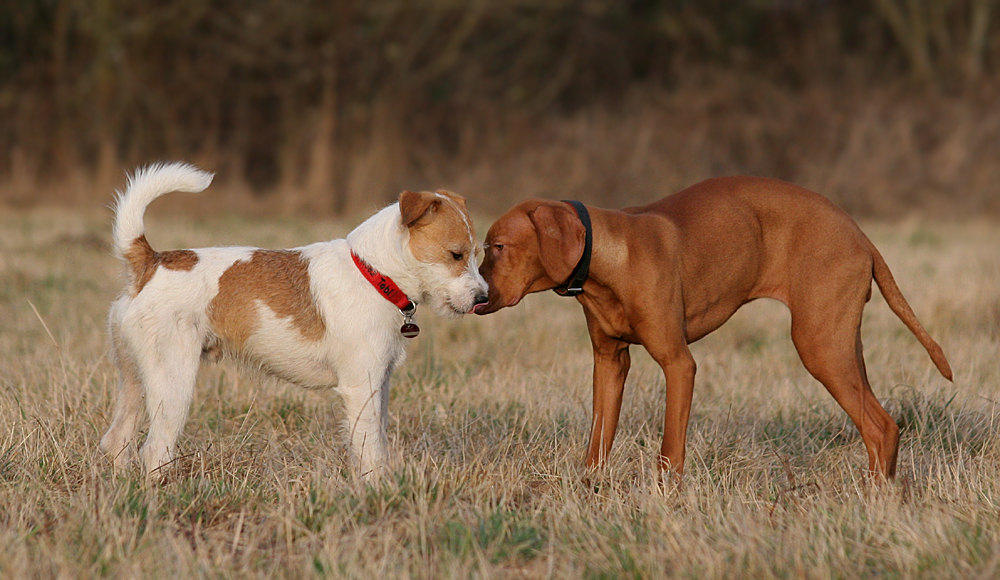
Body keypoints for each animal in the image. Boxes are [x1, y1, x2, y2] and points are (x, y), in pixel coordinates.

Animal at [101, 161, 488, 478]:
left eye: (477, 253)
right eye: (456, 254)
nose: (482, 298)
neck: (374, 273)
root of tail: (150, 261)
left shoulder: (381, 384)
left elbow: (378, 440)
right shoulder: (361, 387)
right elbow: (369, 451)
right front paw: (376, 491)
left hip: (134, 379)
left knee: (118, 439)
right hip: (173, 383)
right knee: (154, 449)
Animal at [476, 177, 952, 480]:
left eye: (497, 247)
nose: (477, 297)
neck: (609, 260)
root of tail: (859, 234)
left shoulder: (678, 363)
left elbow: (669, 450)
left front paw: (663, 502)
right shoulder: (610, 363)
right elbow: (598, 441)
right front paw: (590, 492)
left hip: (818, 346)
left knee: (879, 428)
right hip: (842, 345)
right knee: (884, 427)